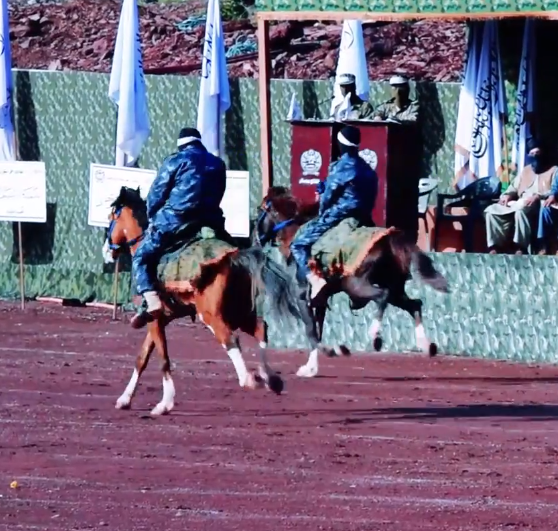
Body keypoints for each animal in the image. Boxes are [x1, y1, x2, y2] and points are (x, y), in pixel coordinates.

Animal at [103, 187, 308, 416]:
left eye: (111, 218)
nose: (107, 251)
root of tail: (234, 257)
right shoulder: (161, 318)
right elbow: (142, 358)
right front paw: (125, 399)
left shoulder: (154, 318)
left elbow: (162, 358)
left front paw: (165, 403)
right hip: (239, 312)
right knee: (260, 329)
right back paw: (270, 378)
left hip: (212, 316)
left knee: (230, 339)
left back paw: (249, 379)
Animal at [254, 187, 450, 378]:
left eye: (260, 209)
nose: (256, 236)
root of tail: (391, 240)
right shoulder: (321, 300)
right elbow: (318, 329)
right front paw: (314, 365)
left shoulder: (302, 297)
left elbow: (311, 331)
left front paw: (323, 357)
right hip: (394, 289)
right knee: (414, 304)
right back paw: (426, 345)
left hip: (356, 286)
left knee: (383, 296)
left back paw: (375, 336)